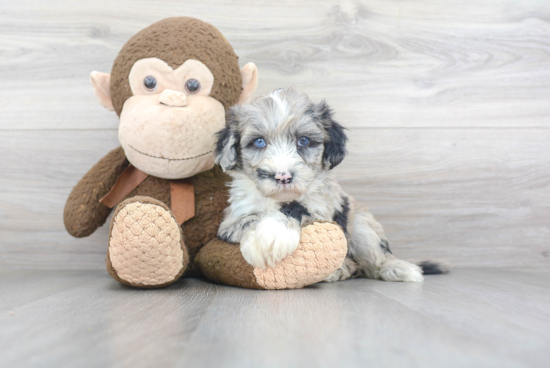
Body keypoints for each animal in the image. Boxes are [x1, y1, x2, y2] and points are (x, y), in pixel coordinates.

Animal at [213, 88, 450, 282]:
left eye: (304, 140)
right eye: (259, 142)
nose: (282, 176)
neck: (281, 199)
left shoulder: (323, 211)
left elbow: (297, 209)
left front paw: (272, 235)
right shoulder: (229, 223)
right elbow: (248, 220)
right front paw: (265, 237)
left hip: (361, 226)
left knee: (373, 259)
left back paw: (396, 268)